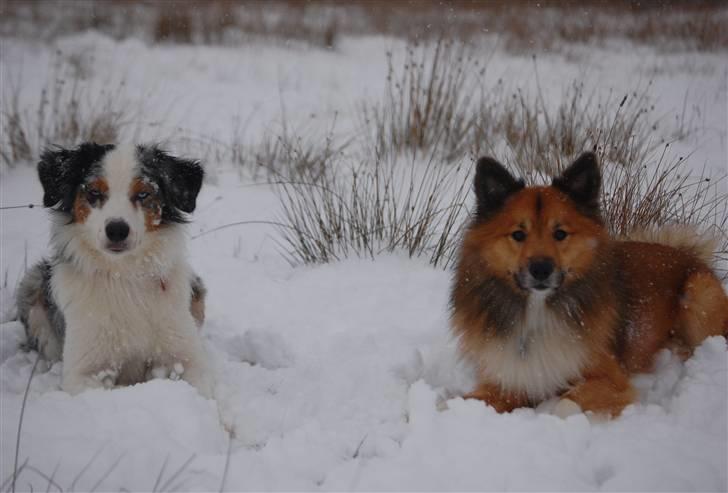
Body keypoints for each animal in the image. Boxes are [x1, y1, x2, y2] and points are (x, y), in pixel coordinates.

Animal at [17, 141, 213, 396]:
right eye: (94, 192)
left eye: (143, 193)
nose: (117, 230)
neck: (124, 275)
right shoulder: (84, 372)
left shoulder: (187, 359)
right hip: (32, 283)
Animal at [452, 153, 724, 416]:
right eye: (518, 234)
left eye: (560, 233)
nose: (541, 269)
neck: (538, 310)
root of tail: (687, 254)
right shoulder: (508, 380)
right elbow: (467, 401)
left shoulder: (611, 380)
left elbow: (564, 405)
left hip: (698, 294)